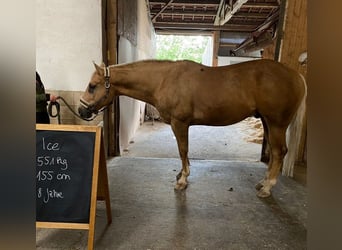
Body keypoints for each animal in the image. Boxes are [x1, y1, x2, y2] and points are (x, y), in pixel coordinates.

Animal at [79, 59, 306, 197]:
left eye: (92, 86)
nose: (81, 111)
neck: (164, 80)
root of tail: (296, 75)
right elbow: (184, 152)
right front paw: (181, 174)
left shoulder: (180, 123)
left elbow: (183, 150)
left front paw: (182, 181)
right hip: (267, 122)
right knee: (275, 153)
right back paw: (263, 181)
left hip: (276, 123)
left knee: (279, 152)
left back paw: (267, 187)